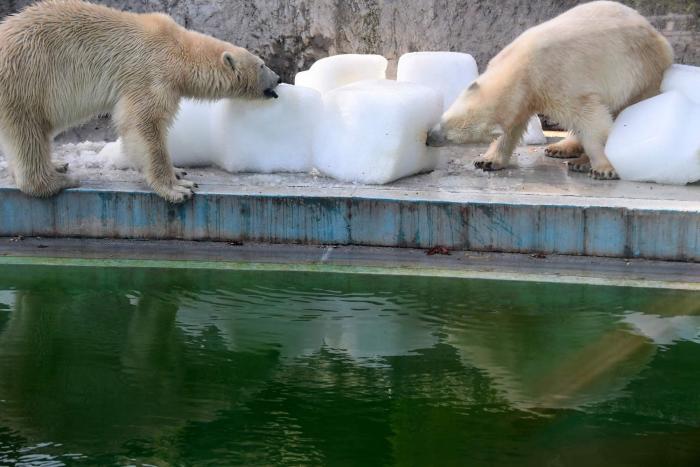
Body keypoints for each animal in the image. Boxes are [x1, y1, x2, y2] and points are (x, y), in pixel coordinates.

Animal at [0, 0, 280, 203]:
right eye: (262, 64)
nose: (277, 78)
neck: (178, 50)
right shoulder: (151, 73)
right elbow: (143, 124)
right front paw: (178, 188)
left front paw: (178, 171)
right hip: (26, 77)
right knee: (28, 132)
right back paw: (56, 181)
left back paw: (57, 165)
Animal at [426, 1, 673, 180]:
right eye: (443, 120)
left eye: (450, 136)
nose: (429, 138)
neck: (522, 66)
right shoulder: (526, 94)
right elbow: (513, 126)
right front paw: (487, 160)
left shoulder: (559, 81)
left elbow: (592, 120)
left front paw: (604, 167)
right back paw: (559, 148)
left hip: (641, 74)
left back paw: (579, 162)